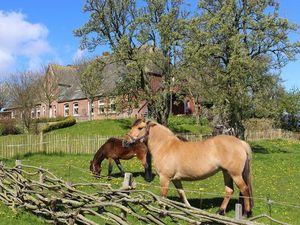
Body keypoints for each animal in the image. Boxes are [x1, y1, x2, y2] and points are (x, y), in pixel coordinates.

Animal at [124, 118, 253, 217]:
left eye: (140, 128)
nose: (125, 142)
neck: (165, 146)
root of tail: (240, 143)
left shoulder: (164, 178)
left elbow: (163, 196)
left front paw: (161, 213)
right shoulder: (176, 179)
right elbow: (182, 193)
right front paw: (188, 209)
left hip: (235, 174)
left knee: (245, 189)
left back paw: (246, 213)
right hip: (226, 172)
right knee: (229, 190)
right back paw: (220, 211)